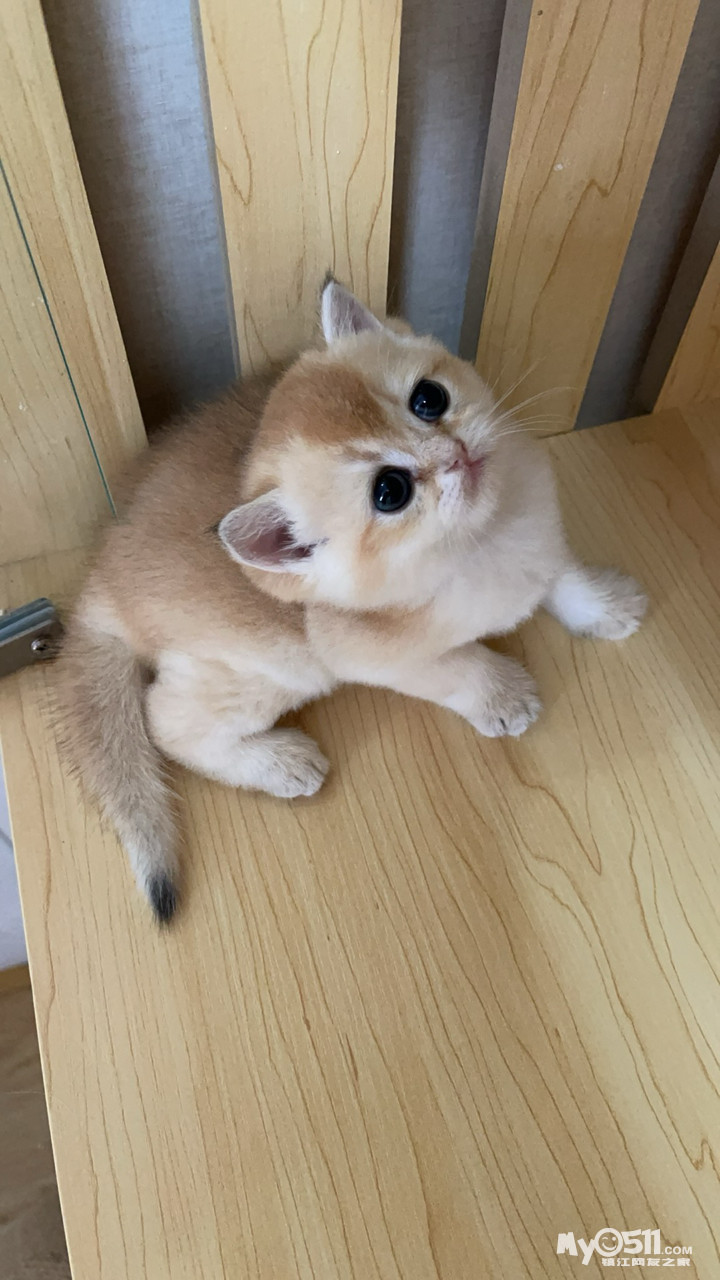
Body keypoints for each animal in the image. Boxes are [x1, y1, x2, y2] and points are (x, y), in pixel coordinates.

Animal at [58, 277, 647, 923]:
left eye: (429, 399)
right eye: (390, 491)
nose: (455, 453)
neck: (482, 542)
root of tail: (99, 578)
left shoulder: (542, 539)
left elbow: (561, 575)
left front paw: (605, 604)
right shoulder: (368, 656)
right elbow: (453, 666)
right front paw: (502, 695)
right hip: (272, 667)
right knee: (167, 723)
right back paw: (278, 763)